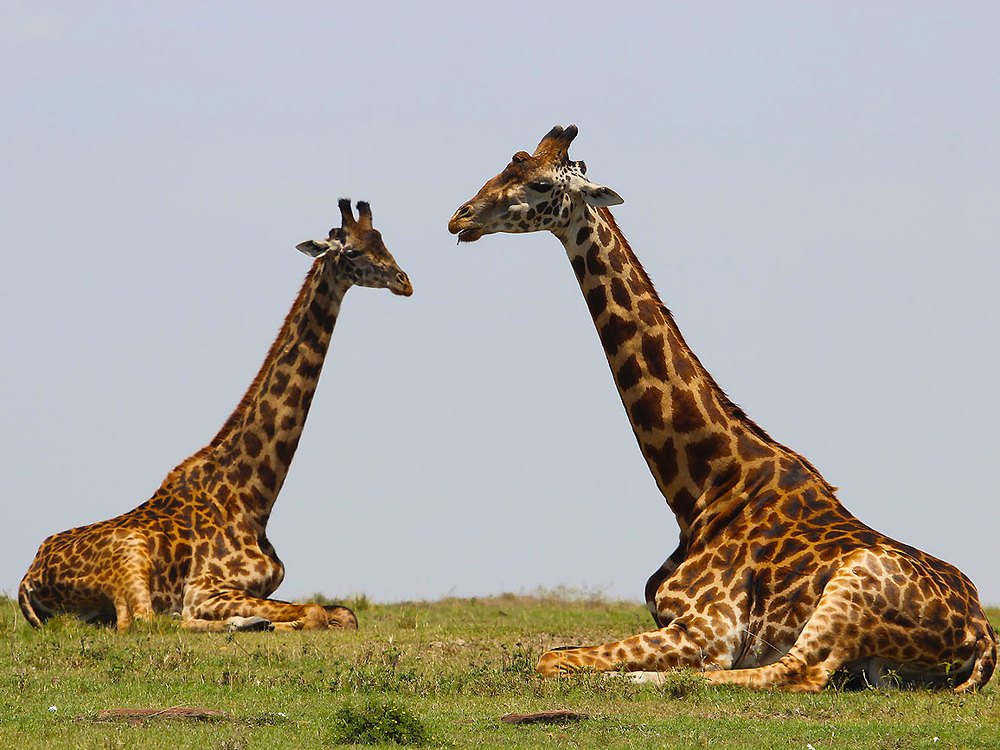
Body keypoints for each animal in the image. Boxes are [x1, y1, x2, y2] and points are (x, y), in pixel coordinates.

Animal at [19, 199, 412, 633]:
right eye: (353, 252)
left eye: (383, 241)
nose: (404, 281)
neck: (253, 500)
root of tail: (27, 578)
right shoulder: (205, 588)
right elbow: (311, 612)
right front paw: (260, 621)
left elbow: (343, 613)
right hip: (130, 557)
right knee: (144, 621)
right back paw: (246, 622)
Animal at [448, 125, 996, 692]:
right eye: (504, 166)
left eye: (538, 183)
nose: (461, 217)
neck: (700, 489)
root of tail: (982, 635)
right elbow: (558, 654)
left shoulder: (709, 628)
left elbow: (553, 658)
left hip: (851, 590)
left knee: (789, 673)